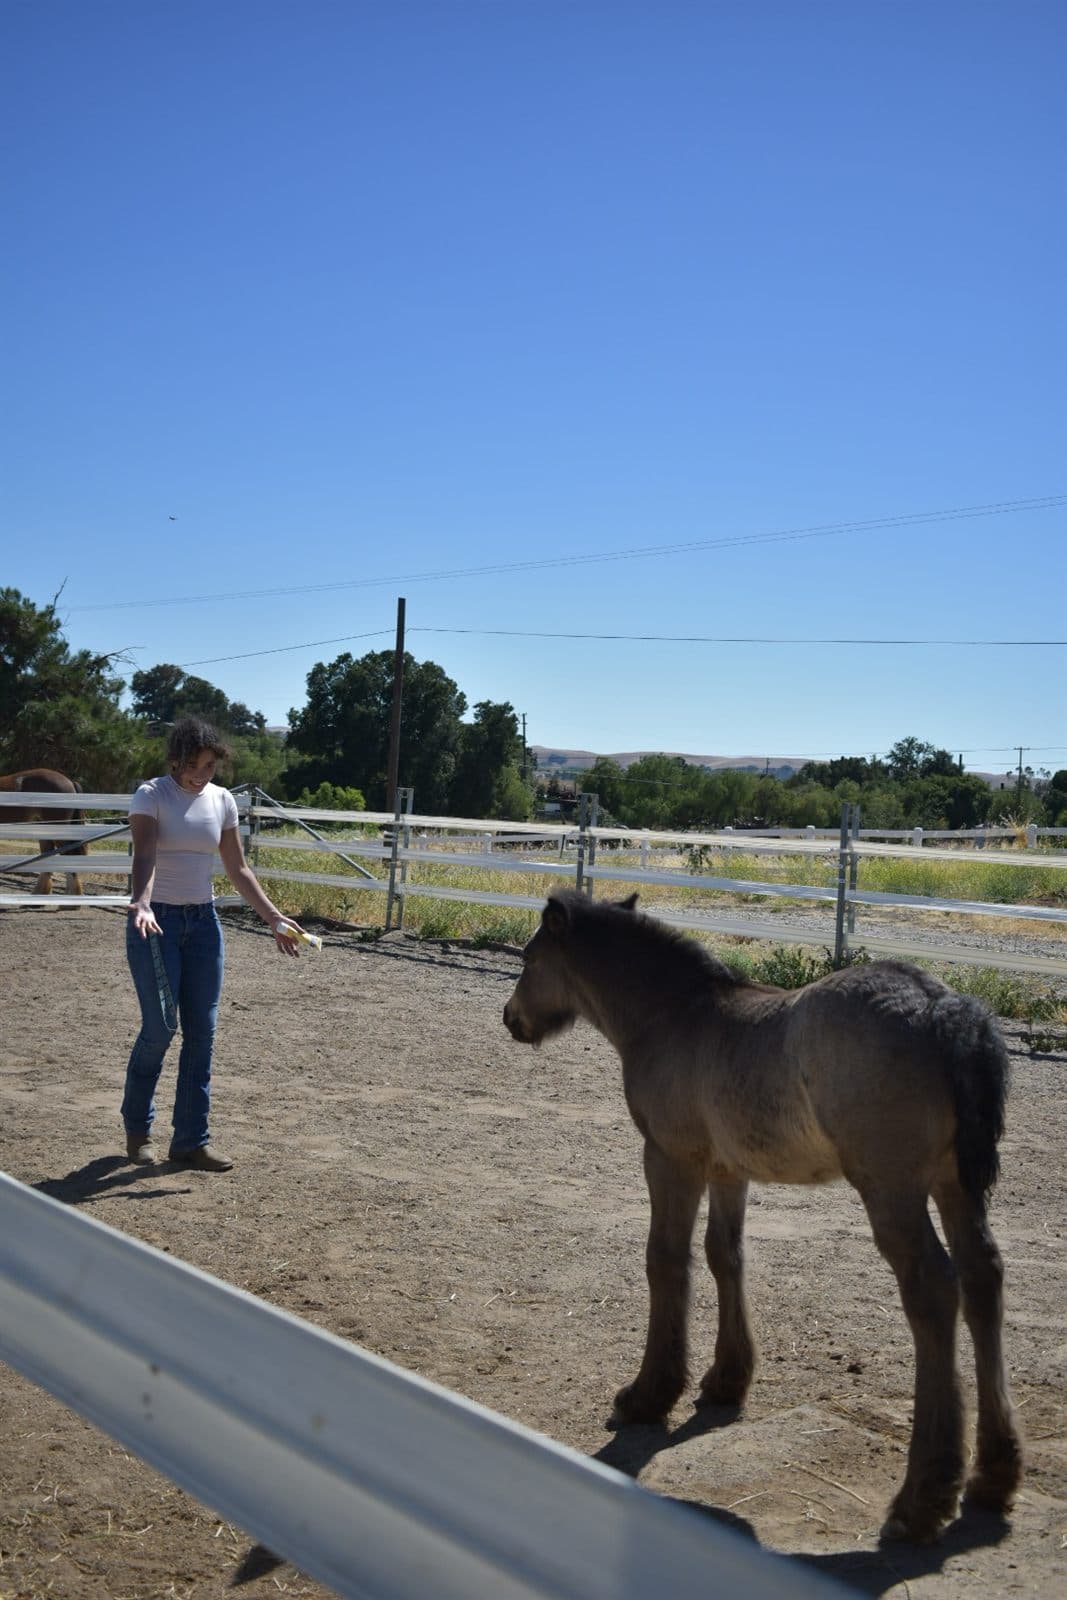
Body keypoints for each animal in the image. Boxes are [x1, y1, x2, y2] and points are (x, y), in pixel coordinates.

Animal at [503, 890, 1022, 1544]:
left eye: (528, 958)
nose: (511, 1019)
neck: (673, 1017)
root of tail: (939, 1004)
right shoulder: (729, 1169)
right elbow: (725, 1256)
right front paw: (726, 1381)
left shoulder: (670, 1156)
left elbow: (665, 1261)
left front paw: (648, 1395)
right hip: (955, 1184)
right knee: (984, 1278)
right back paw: (993, 1478)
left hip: (893, 1189)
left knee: (933, 1291)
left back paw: (922, 1498)